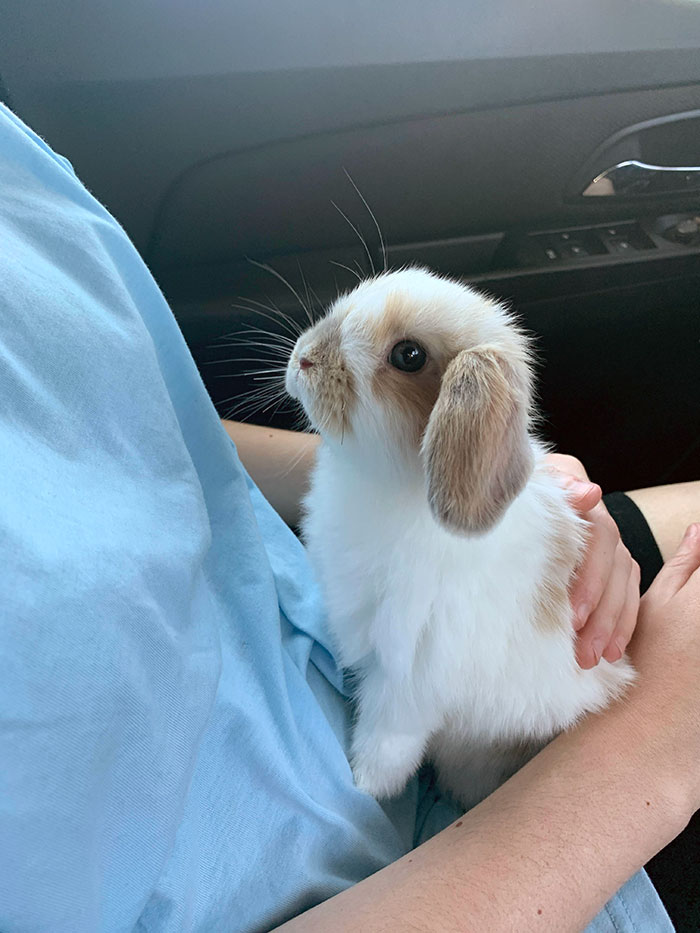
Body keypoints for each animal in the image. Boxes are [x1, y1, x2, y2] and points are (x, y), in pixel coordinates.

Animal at [285, 267, 635, 810]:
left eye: (409, 355)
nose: (303, 358)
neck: (390, 486)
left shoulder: (408, 679)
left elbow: (386, 745)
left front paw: (366, 788)